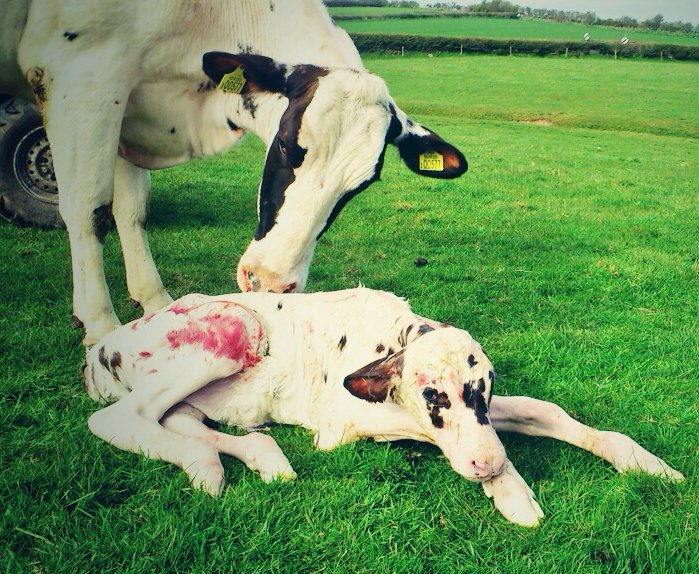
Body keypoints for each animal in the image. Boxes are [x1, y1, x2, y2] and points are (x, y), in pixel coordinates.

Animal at [0, 1, 468, 345]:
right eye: (286, 145)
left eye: (360, 186)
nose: (270, 282)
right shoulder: (85, 79)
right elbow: (89, 210)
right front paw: (99, 325)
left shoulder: (125, 109)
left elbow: (130, 210)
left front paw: (153, 301)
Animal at [83, 288, 683, 527]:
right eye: (434, 395)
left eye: (483, 388)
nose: (486, 465)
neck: (390, 333)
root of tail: (102, 345)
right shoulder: (344, 423)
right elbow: (436, 436)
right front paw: (511, 490)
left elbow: (547, 411)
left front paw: (646, 463)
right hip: (235, 328)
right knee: (115, 419)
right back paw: (205, 466)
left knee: (179, 420)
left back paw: (250, 460)